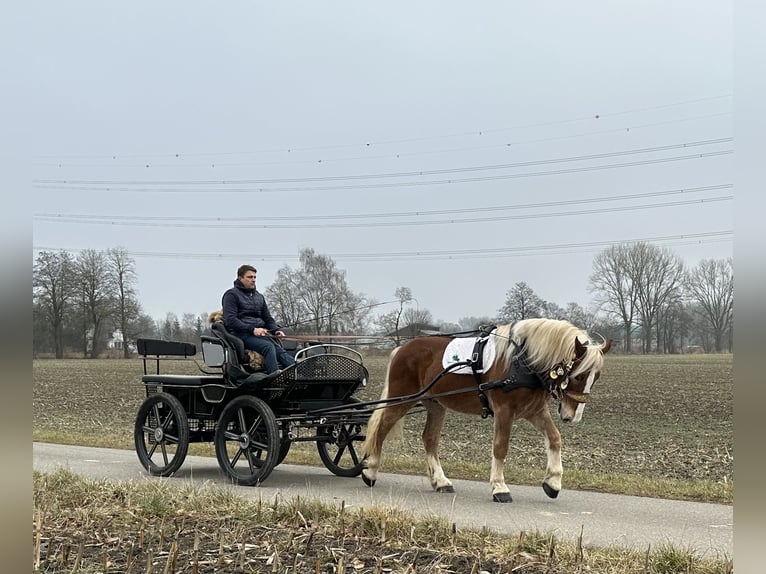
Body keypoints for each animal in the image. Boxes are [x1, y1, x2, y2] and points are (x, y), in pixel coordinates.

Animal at [364, 320, 616, 504]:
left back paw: (441, 481)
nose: (573, 416)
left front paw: (553, 482)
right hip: (401, 400)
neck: (522, 361)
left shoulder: (534, 411)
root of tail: (402, 347)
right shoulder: (505, 411)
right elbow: (500, 447)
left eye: (596, 377)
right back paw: (370, 470)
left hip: (435, 404)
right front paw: (499, 487)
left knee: (430, 439)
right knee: (382, 429)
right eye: (580, 376)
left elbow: (554, 439)